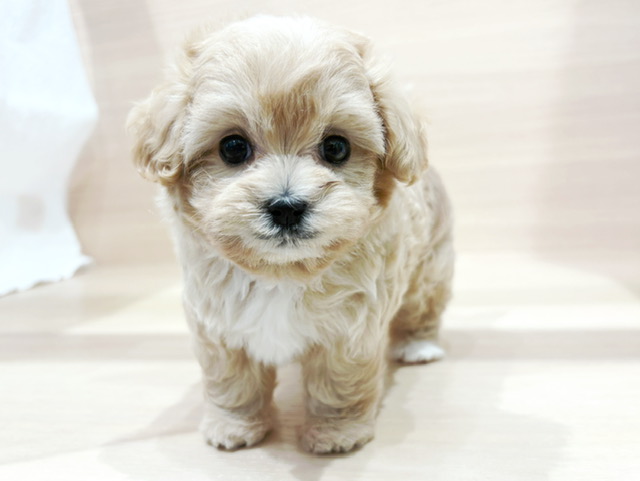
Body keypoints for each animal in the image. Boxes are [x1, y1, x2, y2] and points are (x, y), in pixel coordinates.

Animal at [127, 15, 454, 454]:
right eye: (233, 147)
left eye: (336, 148)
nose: (286, 207)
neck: (281, 272)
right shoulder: (217, 328)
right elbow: (232, 382)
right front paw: (233, 426)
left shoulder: (350, 331)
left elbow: (338, 383)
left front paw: (335, 434)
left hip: (430, 265)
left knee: (423, 305)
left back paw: (418, 346)